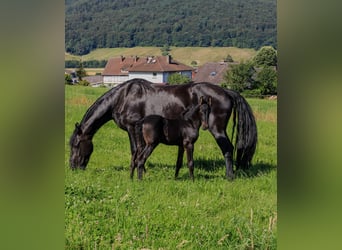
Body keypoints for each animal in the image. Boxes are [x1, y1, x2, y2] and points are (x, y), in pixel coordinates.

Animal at [69, 78, 256, 180]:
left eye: (76, 145)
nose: (72, 167)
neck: (123, 97)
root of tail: (227, 91)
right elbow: (139, 151)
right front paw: (141, 169)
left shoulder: (132, 127)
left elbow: (135, 150)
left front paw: (140, 170)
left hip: (217, 129)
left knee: (227, 149)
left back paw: (229, 176)